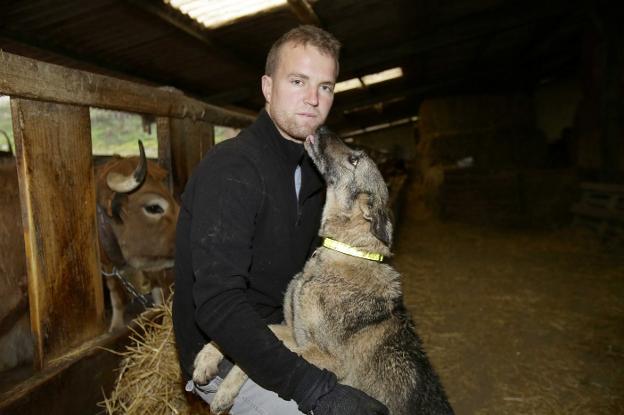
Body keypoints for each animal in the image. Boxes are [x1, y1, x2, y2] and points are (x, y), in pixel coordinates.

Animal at [191, 127, 454, 415]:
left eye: (354, 159)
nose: (321, 128)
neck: (345, 249)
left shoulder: (323, 356)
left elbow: (261, 362)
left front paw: (226, 389)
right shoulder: (293, 331)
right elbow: (259, 337)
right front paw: (208, 354)